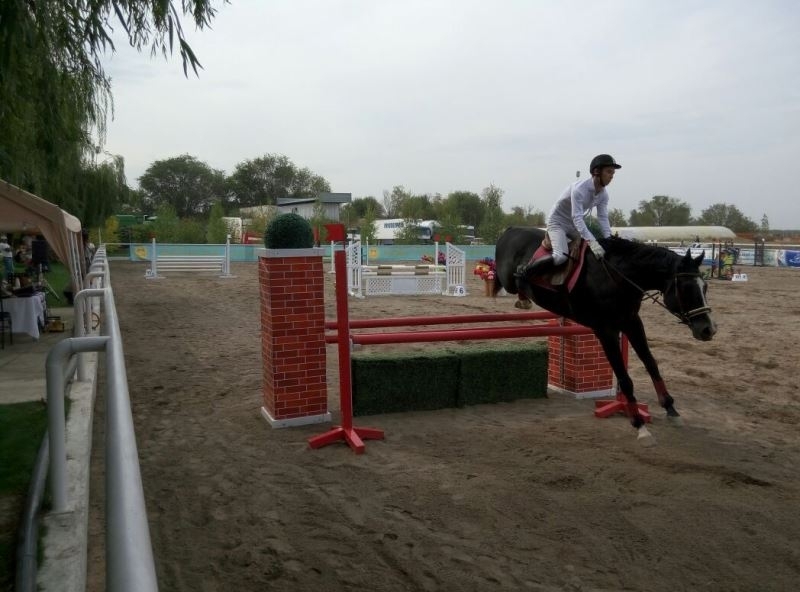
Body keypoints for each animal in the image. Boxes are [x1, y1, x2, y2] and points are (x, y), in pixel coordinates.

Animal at [493, 226, 717, 444]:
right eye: (686, 289)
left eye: (705, 287)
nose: (708, 329)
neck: (619, 278)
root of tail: (510, 229)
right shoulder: (605, 331)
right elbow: (625, 379)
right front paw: (639, 425)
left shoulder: (632, 323)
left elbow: (651, 364)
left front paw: (671, 409)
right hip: (508, 279)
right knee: (505, 280)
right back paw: (521, 285)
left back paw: (523, 297)